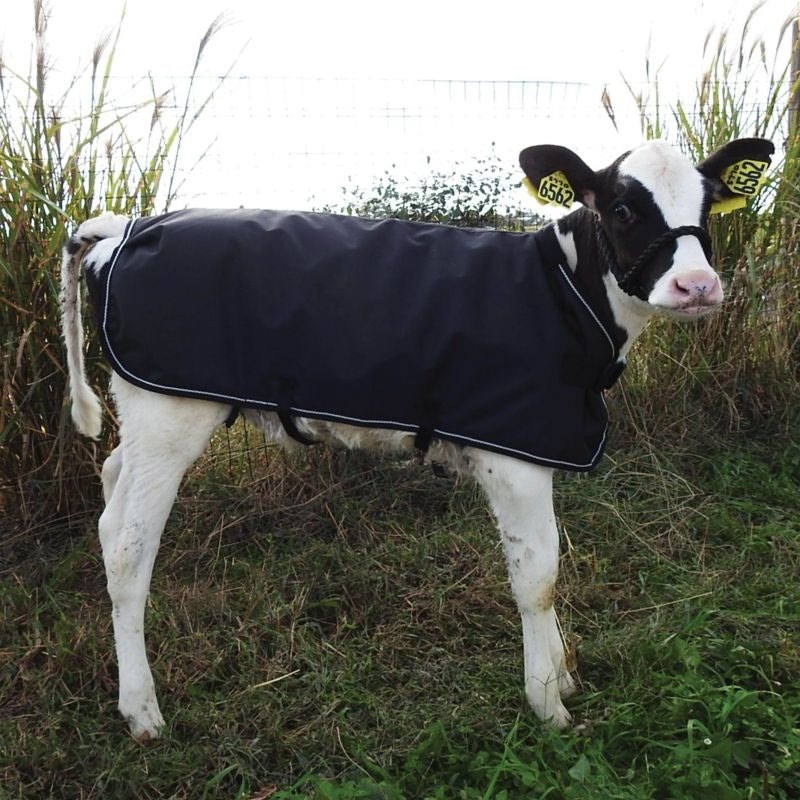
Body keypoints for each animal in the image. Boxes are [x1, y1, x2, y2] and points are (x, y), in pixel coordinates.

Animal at [60, 137, 773, 740]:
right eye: (623, 207)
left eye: (707, 205)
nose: (697, 287)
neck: (564, 294)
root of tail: (124, 229)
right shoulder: (512, 456)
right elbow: (538, 576)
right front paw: (547, 702)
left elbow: (547, 566)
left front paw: (563, 673)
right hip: (170, 412)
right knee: (127, 546)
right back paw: (142, 711)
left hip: (144, 410)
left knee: (111, 488)